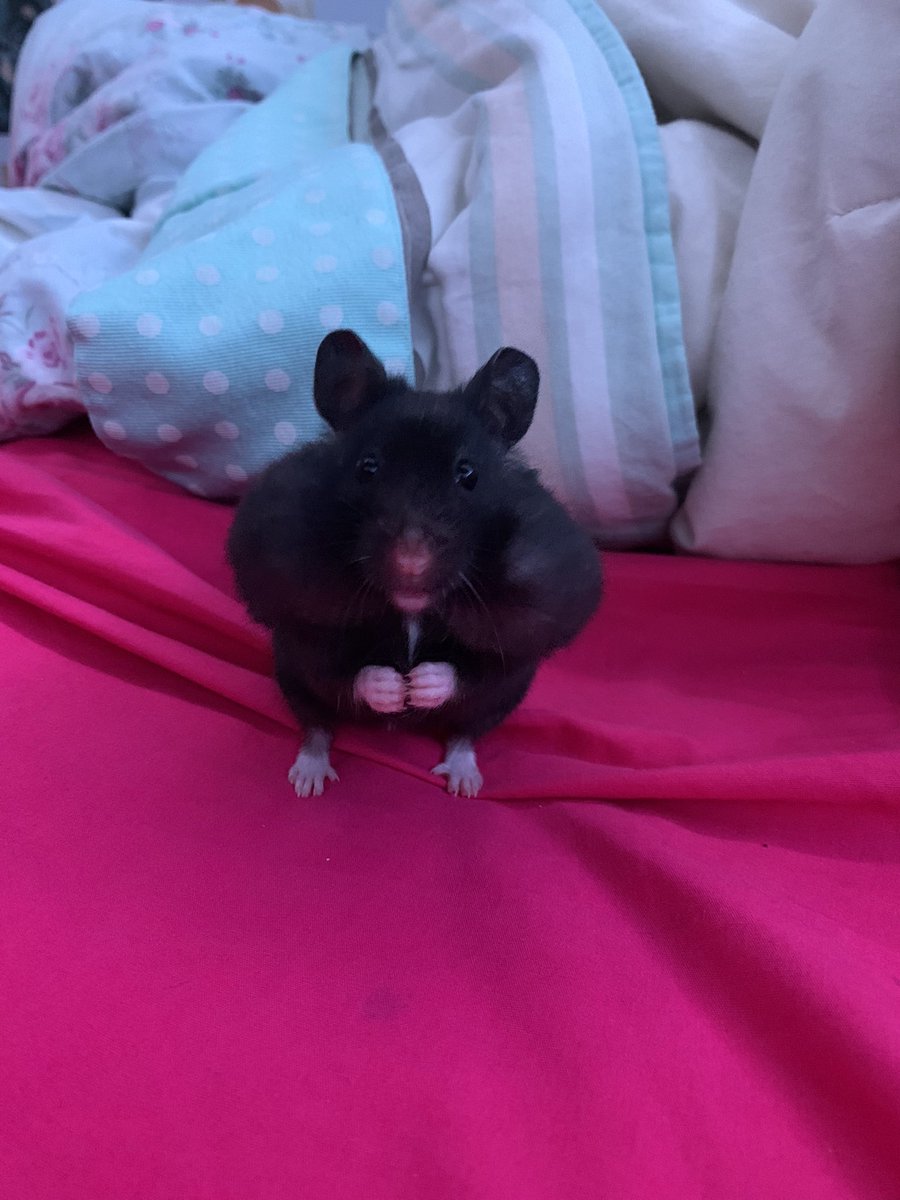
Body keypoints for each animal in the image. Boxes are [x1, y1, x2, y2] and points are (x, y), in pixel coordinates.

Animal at [227, 330, 601, 797]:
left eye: (468, 474)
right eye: (367, 467)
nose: (411, 562)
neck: (410, 610)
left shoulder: (517, 639)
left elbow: (471, 672)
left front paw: (418, 685)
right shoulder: (302, 627)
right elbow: (342, 670)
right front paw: (394, 689)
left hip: (502, 704)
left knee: (465, 732)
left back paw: (464, 783)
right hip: (290, 678)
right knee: (316, 726)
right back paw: (307, 780)